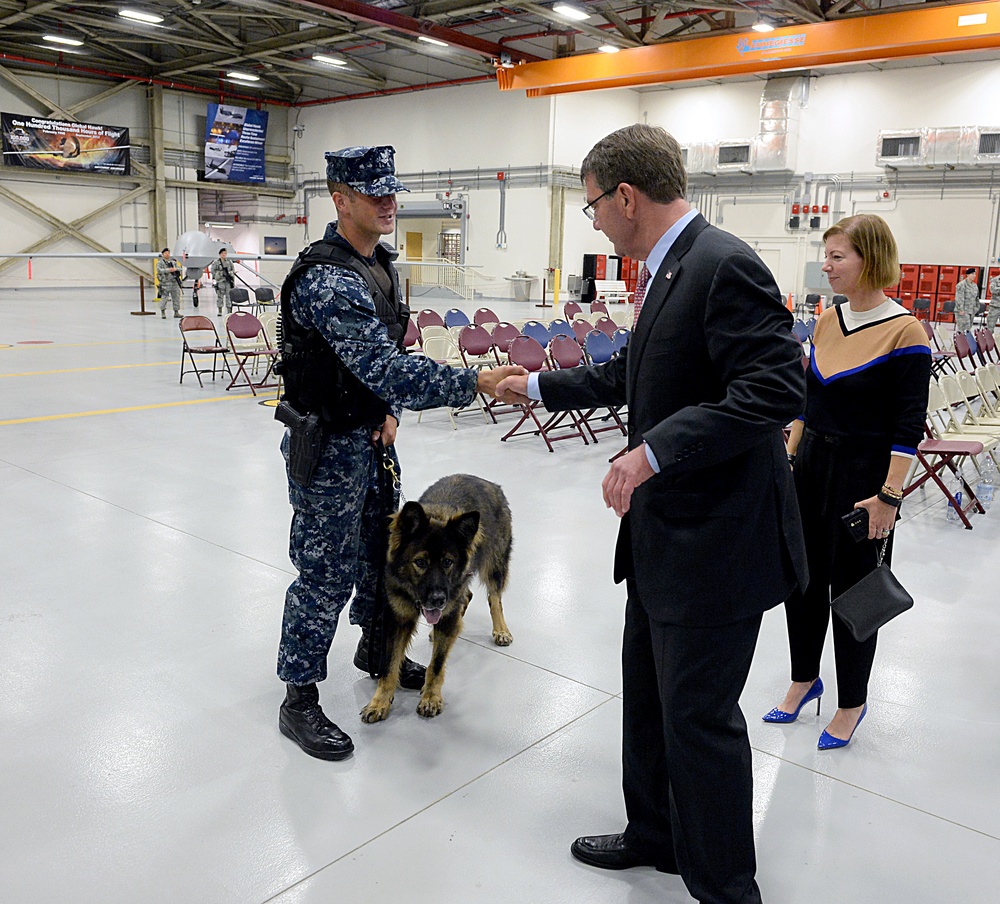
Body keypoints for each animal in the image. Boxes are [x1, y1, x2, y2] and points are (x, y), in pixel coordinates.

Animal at [362, 476, 516, 724]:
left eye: (447, 562)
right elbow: (389, 665)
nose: (438, 600)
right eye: (420, 562)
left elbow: (436, 664)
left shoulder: (447, 613)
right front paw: (380, 702)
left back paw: (501, 630)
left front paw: (431, 697)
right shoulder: (397, 619)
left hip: (494, 564)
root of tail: (491, 484)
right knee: (468, 597)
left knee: (494, 598)